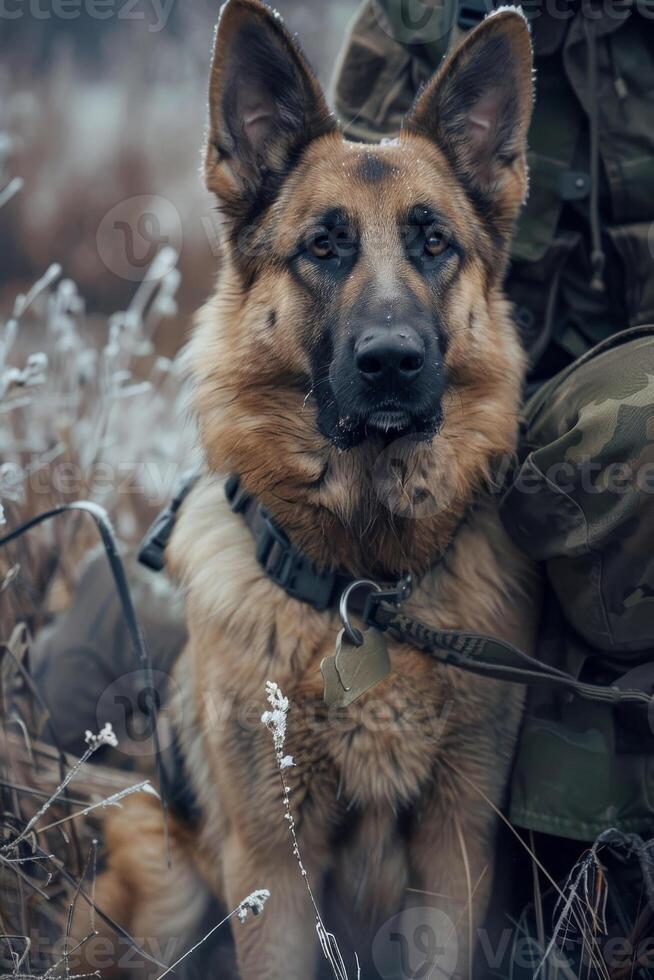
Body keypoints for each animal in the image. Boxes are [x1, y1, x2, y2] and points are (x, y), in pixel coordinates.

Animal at [82, 3, 540, 976]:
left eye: (434, 243)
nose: (392, 362)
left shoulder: (455, 851)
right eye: (323, 246)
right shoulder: (272, 870)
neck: (363, 585)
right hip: (163, 883)